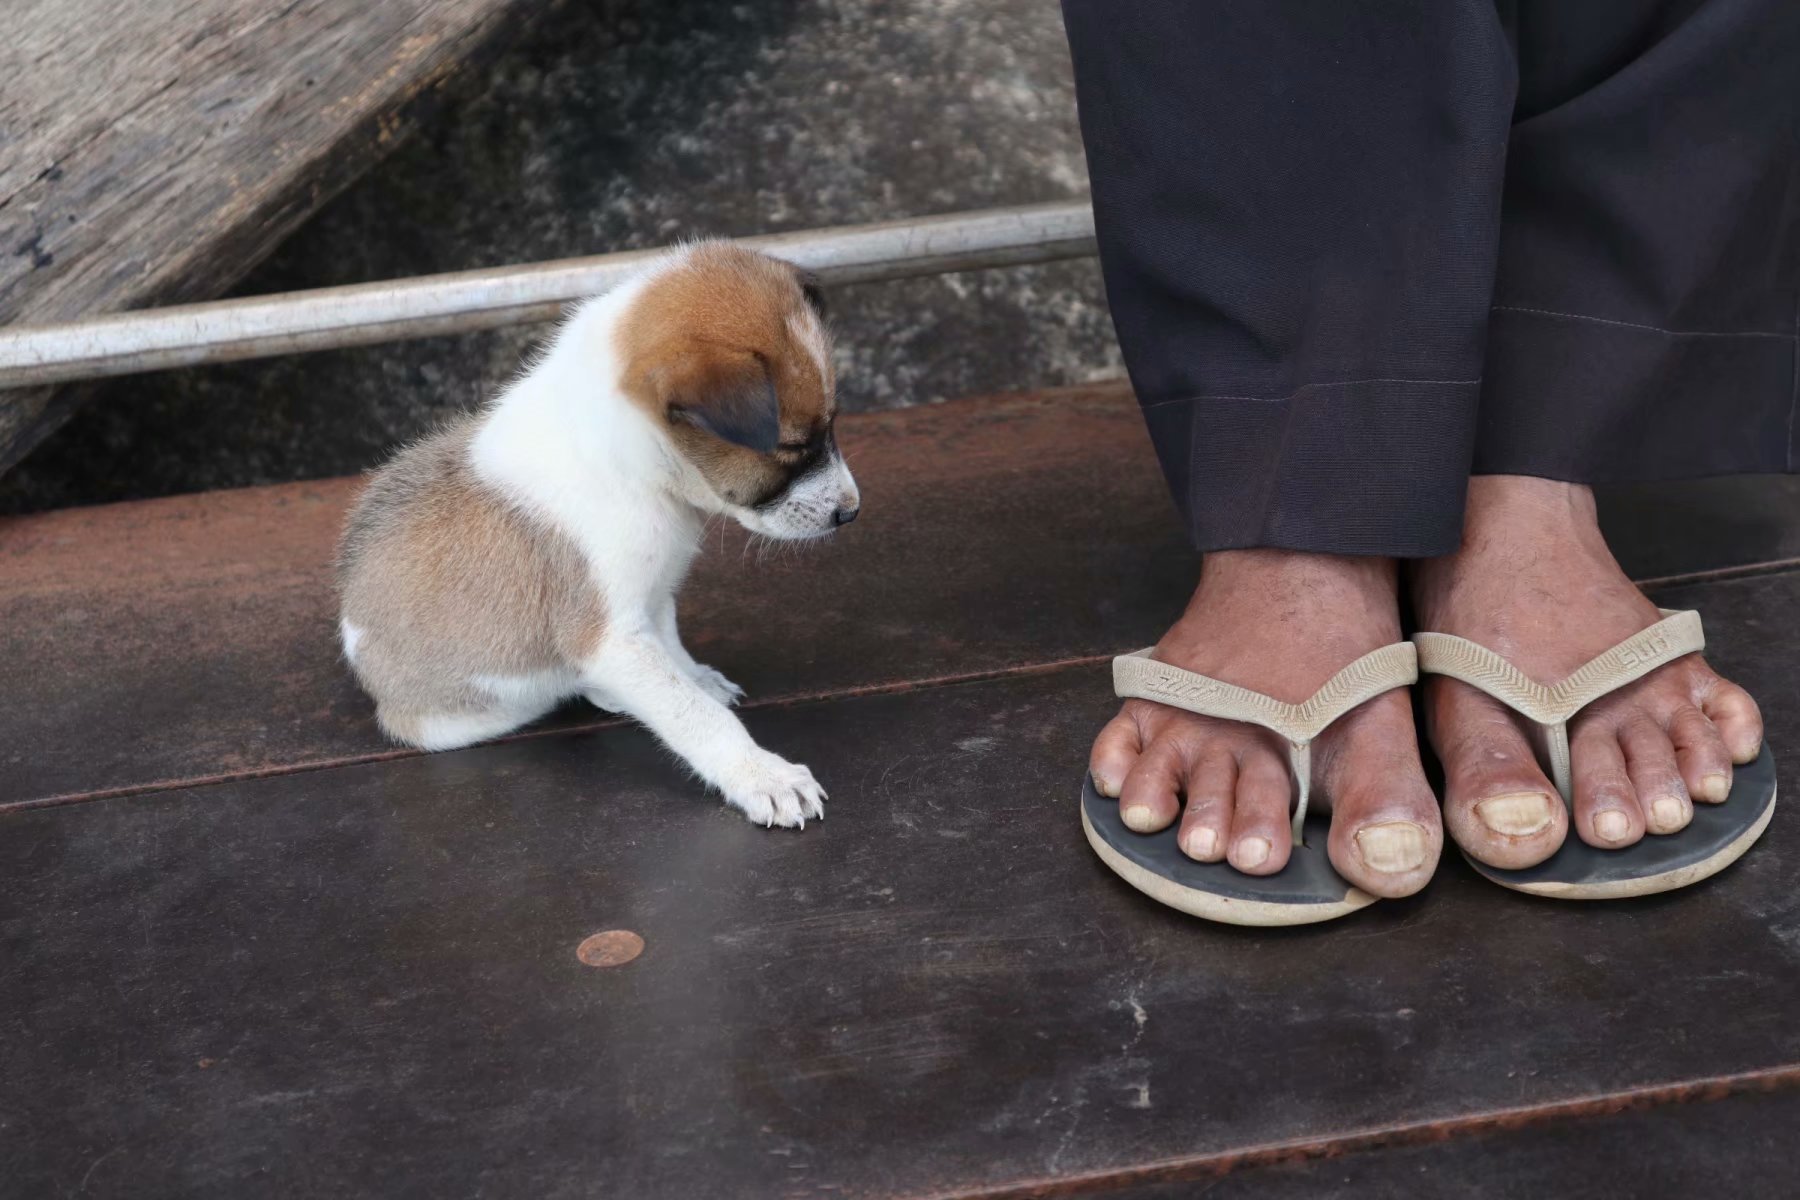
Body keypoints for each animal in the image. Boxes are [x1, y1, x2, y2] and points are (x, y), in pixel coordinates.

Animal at [342, 244, 864, 827]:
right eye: (794, 449)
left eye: (832, 426)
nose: (851, 513)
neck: (638, 464)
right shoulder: (609, 637)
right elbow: (693, 714)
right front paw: (760, 775)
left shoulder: (651, 597)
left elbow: (673, 655)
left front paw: (695, 678)